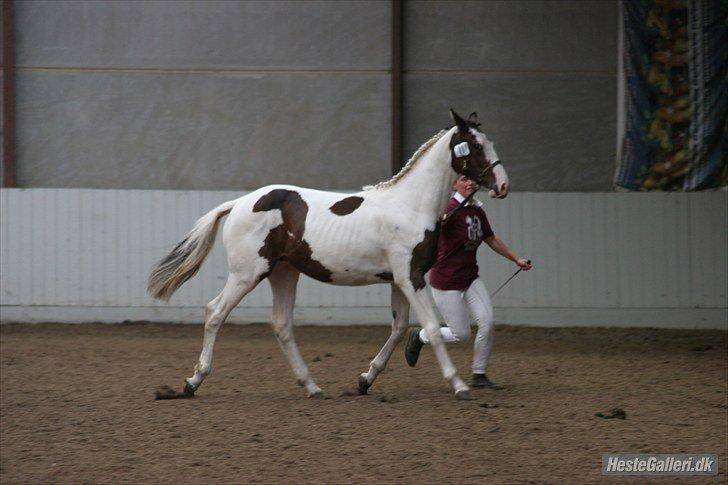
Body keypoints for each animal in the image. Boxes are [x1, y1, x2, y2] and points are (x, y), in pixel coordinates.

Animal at [149, 109, 506, 400]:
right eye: (475, 146)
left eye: (489, 142)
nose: (502, 186)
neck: (410, 206)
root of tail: (239, 203)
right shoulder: (411, 278)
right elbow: (430, 327)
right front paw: (458, 385)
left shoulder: (398, 280)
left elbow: (399, 328)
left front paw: (365, 380)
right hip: (247, 274)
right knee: (215, 312)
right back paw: (192, 382)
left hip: (284, 272)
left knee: (281, 324)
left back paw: (312, 386)